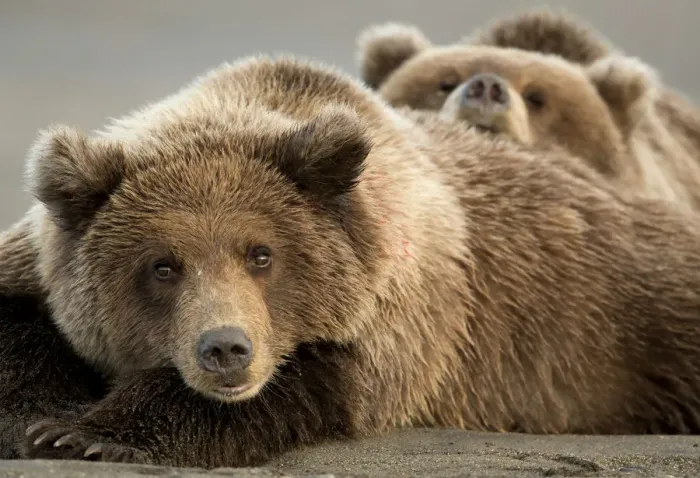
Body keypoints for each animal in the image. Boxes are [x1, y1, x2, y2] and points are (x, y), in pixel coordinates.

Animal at [1, 55, 700, 468]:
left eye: (261, 254)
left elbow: (313, 382)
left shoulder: (401, 312)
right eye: (162, 265)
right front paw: (45, 421)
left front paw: (92, 432)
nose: (225, 348)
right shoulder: (36, 262)